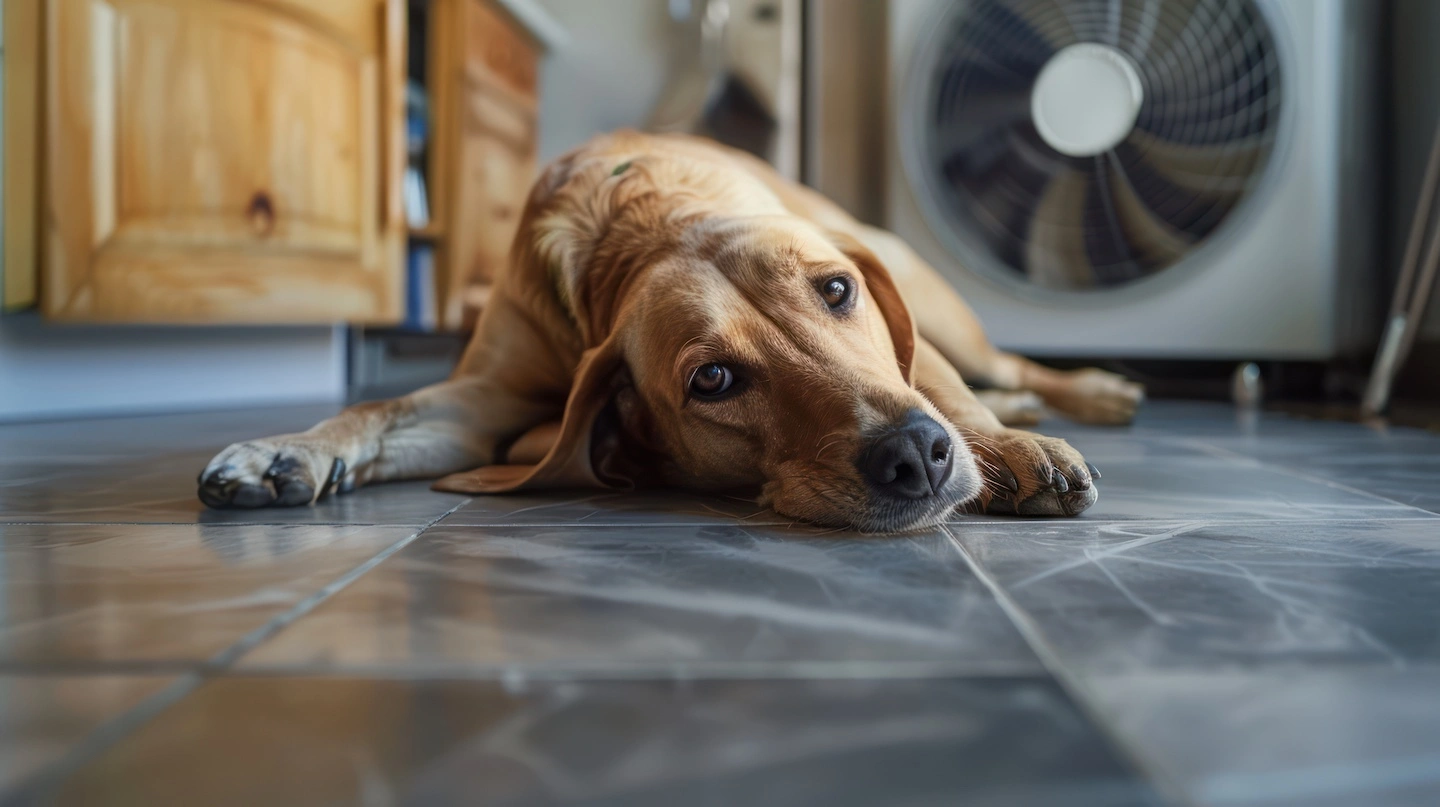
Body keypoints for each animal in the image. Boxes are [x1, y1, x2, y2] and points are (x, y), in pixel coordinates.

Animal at [197, 131, 1140, 533]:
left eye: (837, 289)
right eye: (711, 380)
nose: (916, 452)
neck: (644, 223)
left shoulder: (908, 342)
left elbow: (934, 384)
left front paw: (1005, 448)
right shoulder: (485, 394)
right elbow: (375, 412)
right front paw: (287, 449)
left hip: (940, 306)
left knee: (1002, 362)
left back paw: (1090, 391)